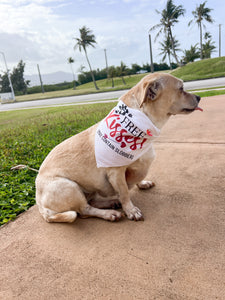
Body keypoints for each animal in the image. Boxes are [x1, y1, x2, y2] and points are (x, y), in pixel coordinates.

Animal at [35, 73, 202, 223]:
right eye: (181, 89)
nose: (199, 97)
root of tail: (40, 205)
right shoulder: (116, 173)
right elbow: (124, 193)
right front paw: (131, 210)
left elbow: (136, 178)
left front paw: (142, 184)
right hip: (69, 187)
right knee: (84, 210)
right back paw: (109, 213)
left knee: (91, 202)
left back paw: (110, 203)